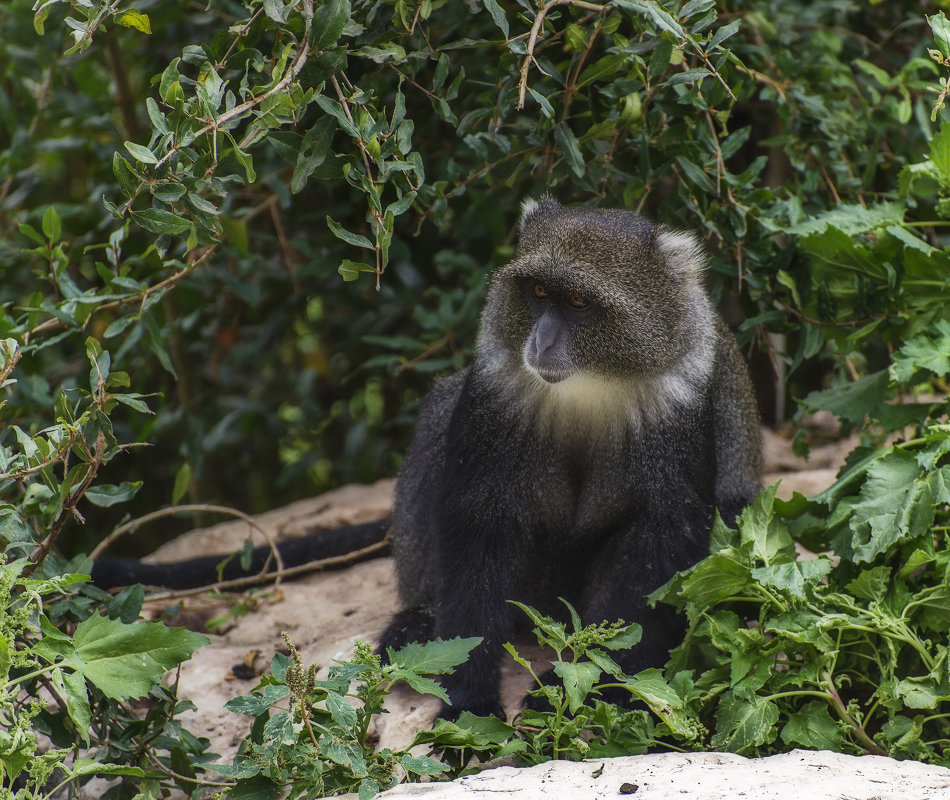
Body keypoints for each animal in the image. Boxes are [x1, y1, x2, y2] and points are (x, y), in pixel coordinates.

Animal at [93, 198, 764, 720]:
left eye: (578, 304)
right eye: (538, 292)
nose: (540, 340)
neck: (592, 385)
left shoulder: (678, 404)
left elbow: (656, 543)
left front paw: (592, 685)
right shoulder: (495, 392)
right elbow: (478, 527)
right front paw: (469, 700)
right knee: (441, 415)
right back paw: (417, 622)